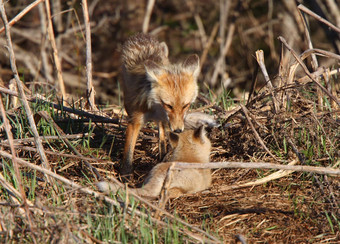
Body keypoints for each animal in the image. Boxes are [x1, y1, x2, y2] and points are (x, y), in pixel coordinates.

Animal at [120, 33, 199, 173]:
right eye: (169, 105)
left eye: (185, 105)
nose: (178, 130)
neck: (155, 107)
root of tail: (142, 36)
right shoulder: (135, 120)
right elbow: (128, 152)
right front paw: (125, 174)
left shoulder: (165, 119)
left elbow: (163, 137)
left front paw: (163, 156)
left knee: (161, 134)